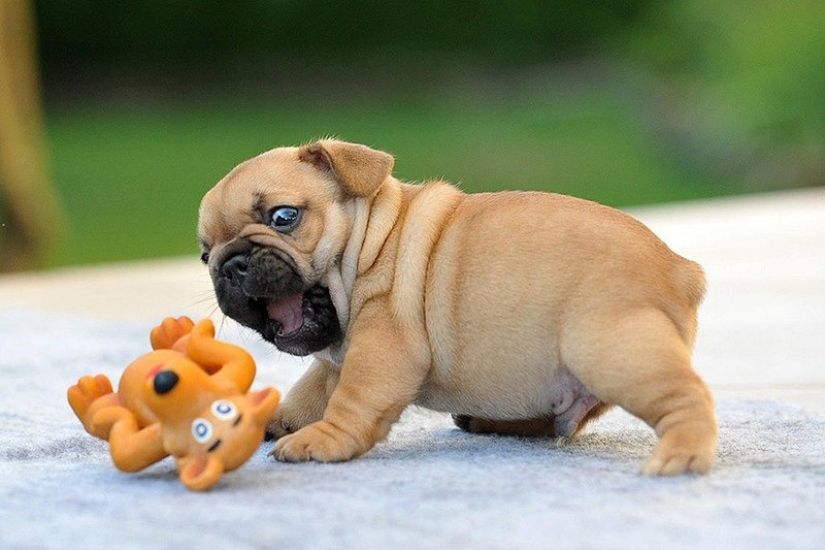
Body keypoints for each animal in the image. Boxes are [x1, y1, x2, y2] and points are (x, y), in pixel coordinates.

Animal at [200, 140, 716, 476]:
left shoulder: (383, 347)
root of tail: (681, 271)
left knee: (686, 397)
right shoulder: (337, 357)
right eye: (205, 255)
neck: (372, 242)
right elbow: (312, 387)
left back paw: (683, 455)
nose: (231, 265)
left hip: (615, 350)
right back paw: (491, 421)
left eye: (283, 217)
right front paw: (278, 416)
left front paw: (321, 440)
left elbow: (351, 399)